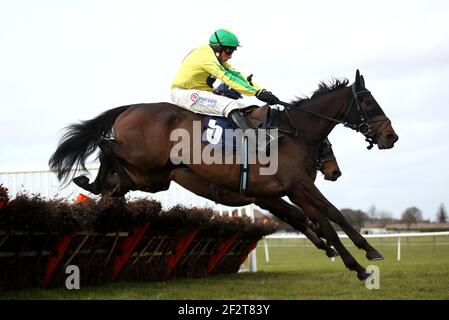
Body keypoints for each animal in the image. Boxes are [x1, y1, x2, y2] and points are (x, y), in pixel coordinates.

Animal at [50, 70, 398, 280]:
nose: (390, 137)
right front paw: (364, 258)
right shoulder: (295, 187)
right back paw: (91, 179)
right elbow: (330, 216)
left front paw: (356, 258)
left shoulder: (289, 191)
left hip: (151, 176)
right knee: (104, 145)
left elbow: (321, 220)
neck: (292, 133)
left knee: (114, 174)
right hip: (143, 158)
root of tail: (130, 108)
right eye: (369, 102)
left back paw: (94, 185)